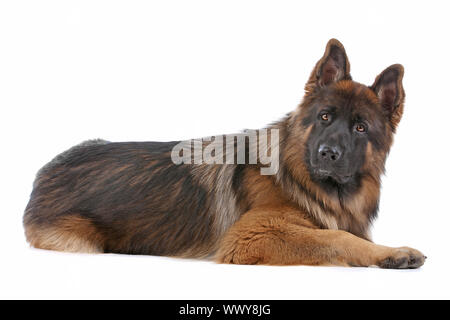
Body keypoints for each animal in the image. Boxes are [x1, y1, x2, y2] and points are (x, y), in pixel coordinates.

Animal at [23, 39, 426, 268]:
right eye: (325, 117)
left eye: (360, 128)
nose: (328, 153)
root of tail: (46, 169)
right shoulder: (251, 237)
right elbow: (336, 238)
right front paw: (391, 254)